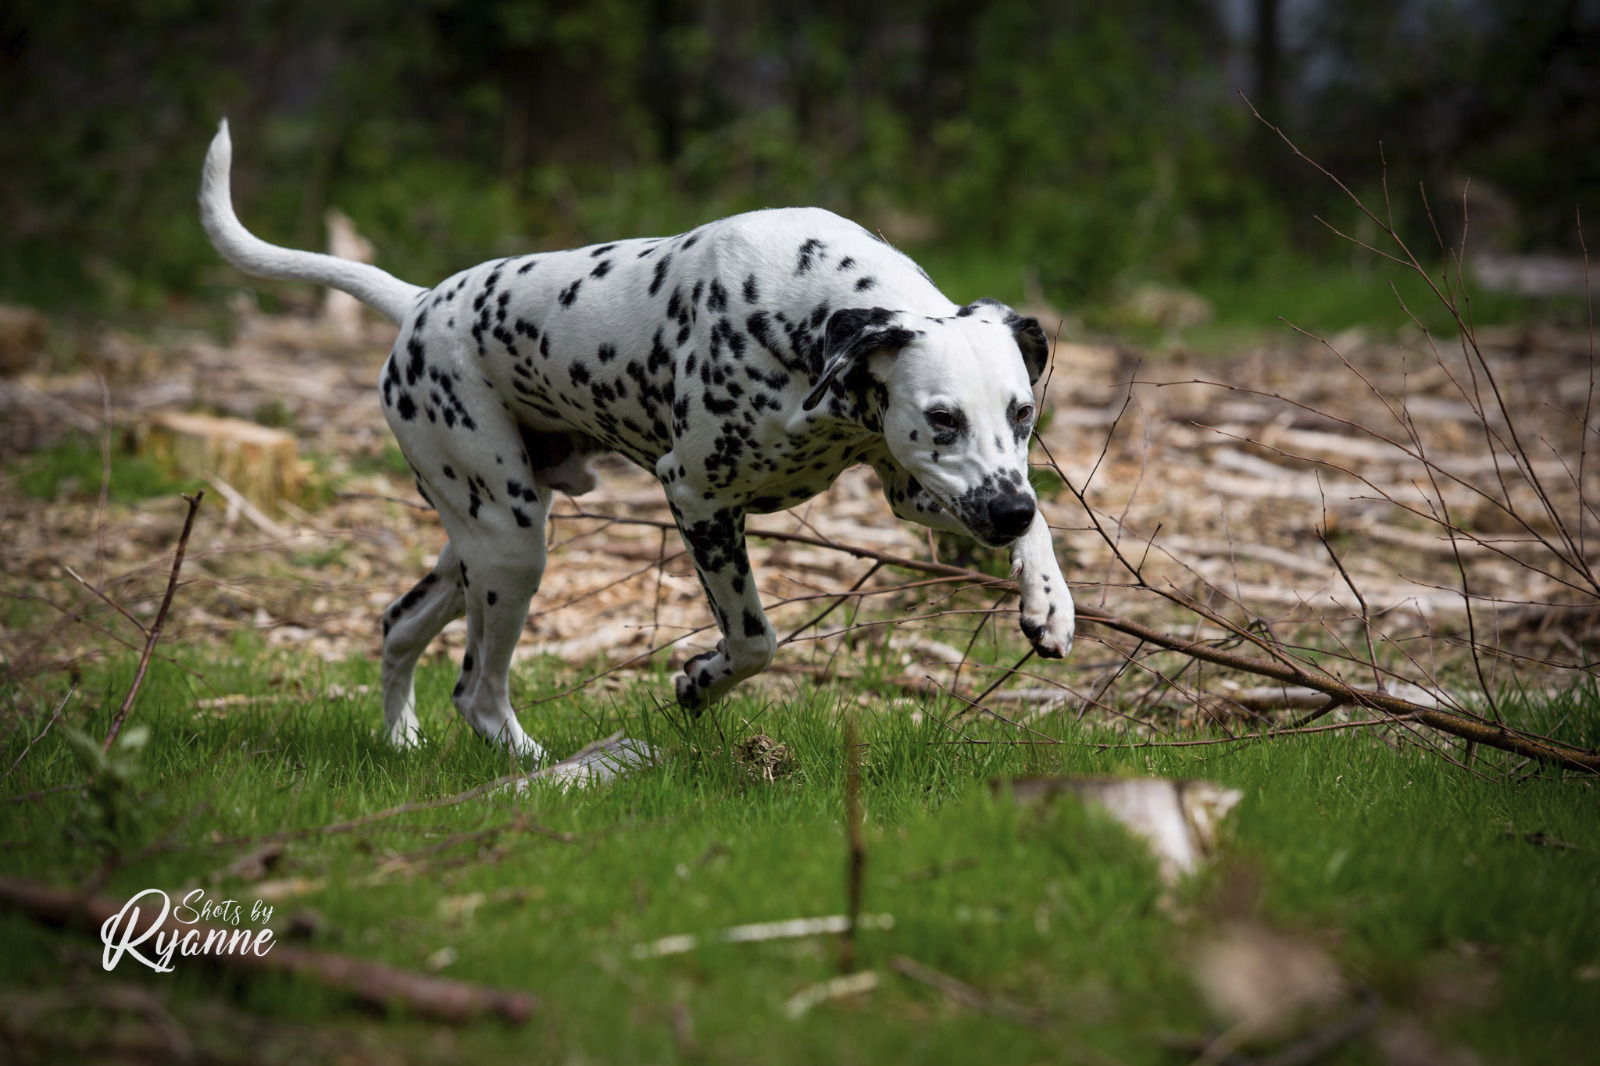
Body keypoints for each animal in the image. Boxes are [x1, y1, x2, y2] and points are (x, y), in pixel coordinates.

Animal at [200, 120, 1075, 758]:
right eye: (942, 418)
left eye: (1022, 414)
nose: (1008, 515)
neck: (796, 310)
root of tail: (419, 304)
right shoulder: (699, 500)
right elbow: (755, 641)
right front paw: (699, 682)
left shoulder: (916, 489)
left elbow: (1045, 528)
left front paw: (1050, 604)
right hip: (511, 545)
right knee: (478, 691)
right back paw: (541, 768)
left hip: (481, 543)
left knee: (401, 626)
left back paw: (403, 740)